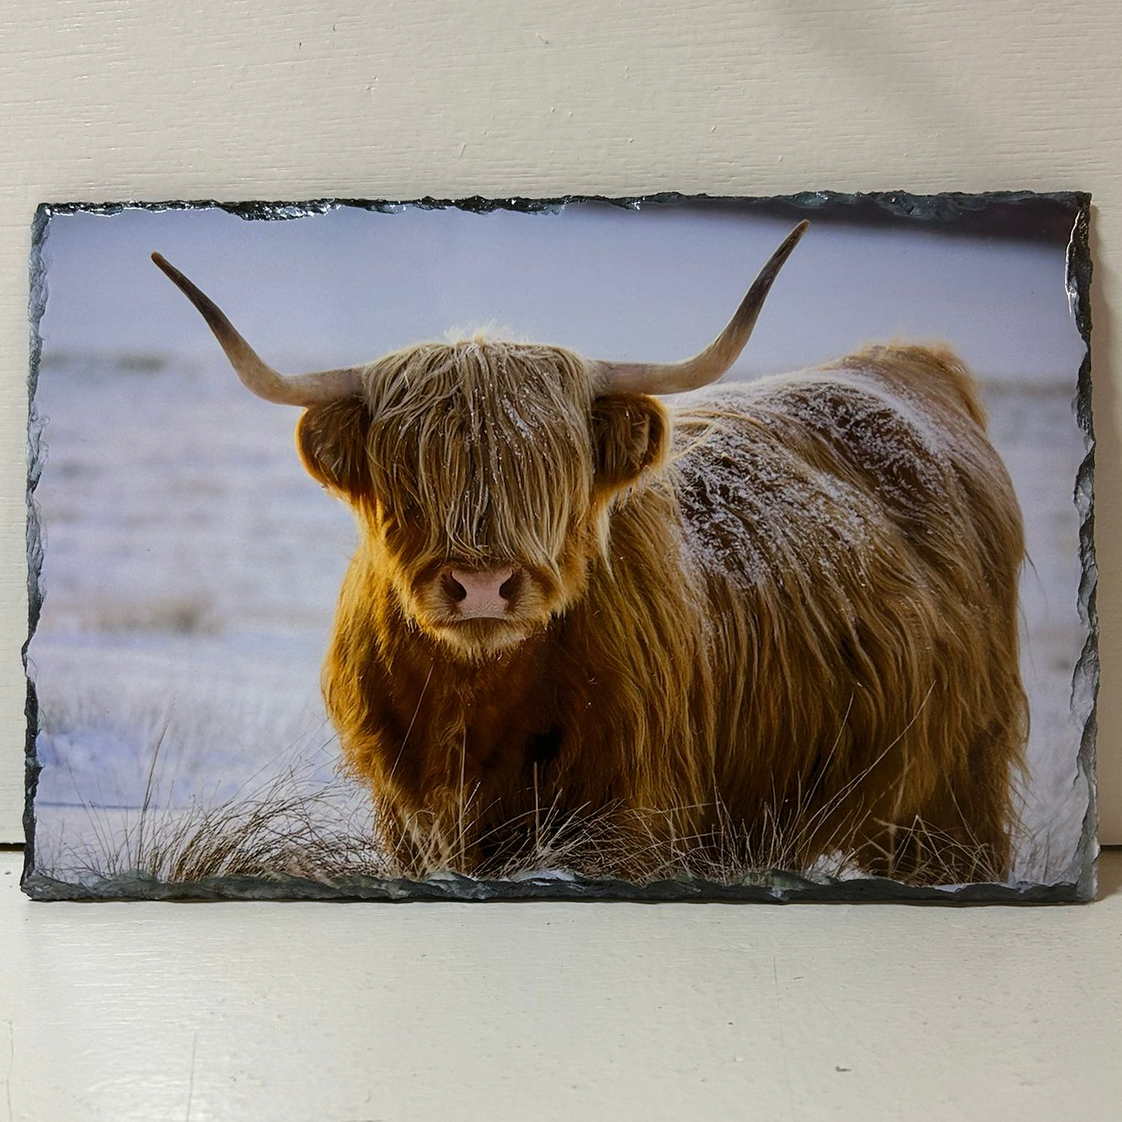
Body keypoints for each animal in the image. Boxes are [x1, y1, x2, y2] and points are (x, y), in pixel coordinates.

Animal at [152, 221, 1028, 884]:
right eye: (409, 475)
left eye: (553, 474)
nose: (481, 586)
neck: (476, 706)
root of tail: (908, 361)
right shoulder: (406, 820)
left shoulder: (626, 821)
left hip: (955, 792)